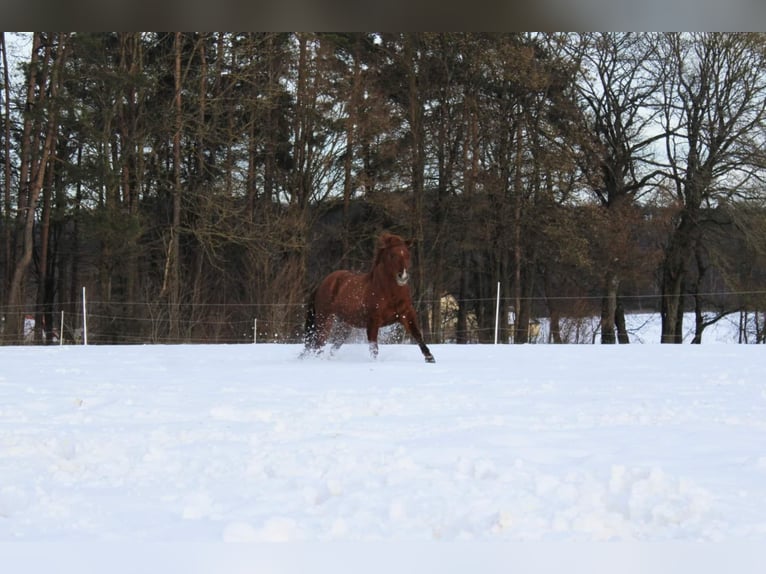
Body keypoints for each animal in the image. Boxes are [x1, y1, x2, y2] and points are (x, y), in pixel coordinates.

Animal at [303, 232, 435, 363]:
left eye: (407, 255)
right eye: (392, 255)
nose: (402, 276)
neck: (390, 293)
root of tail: (322, 284)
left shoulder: (406, 314)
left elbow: (417, 334)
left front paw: (430, 358)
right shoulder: (373, 321)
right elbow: (374, 347)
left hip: (345, 326)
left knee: (332, 346)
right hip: (325, 319)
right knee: (319, 343)